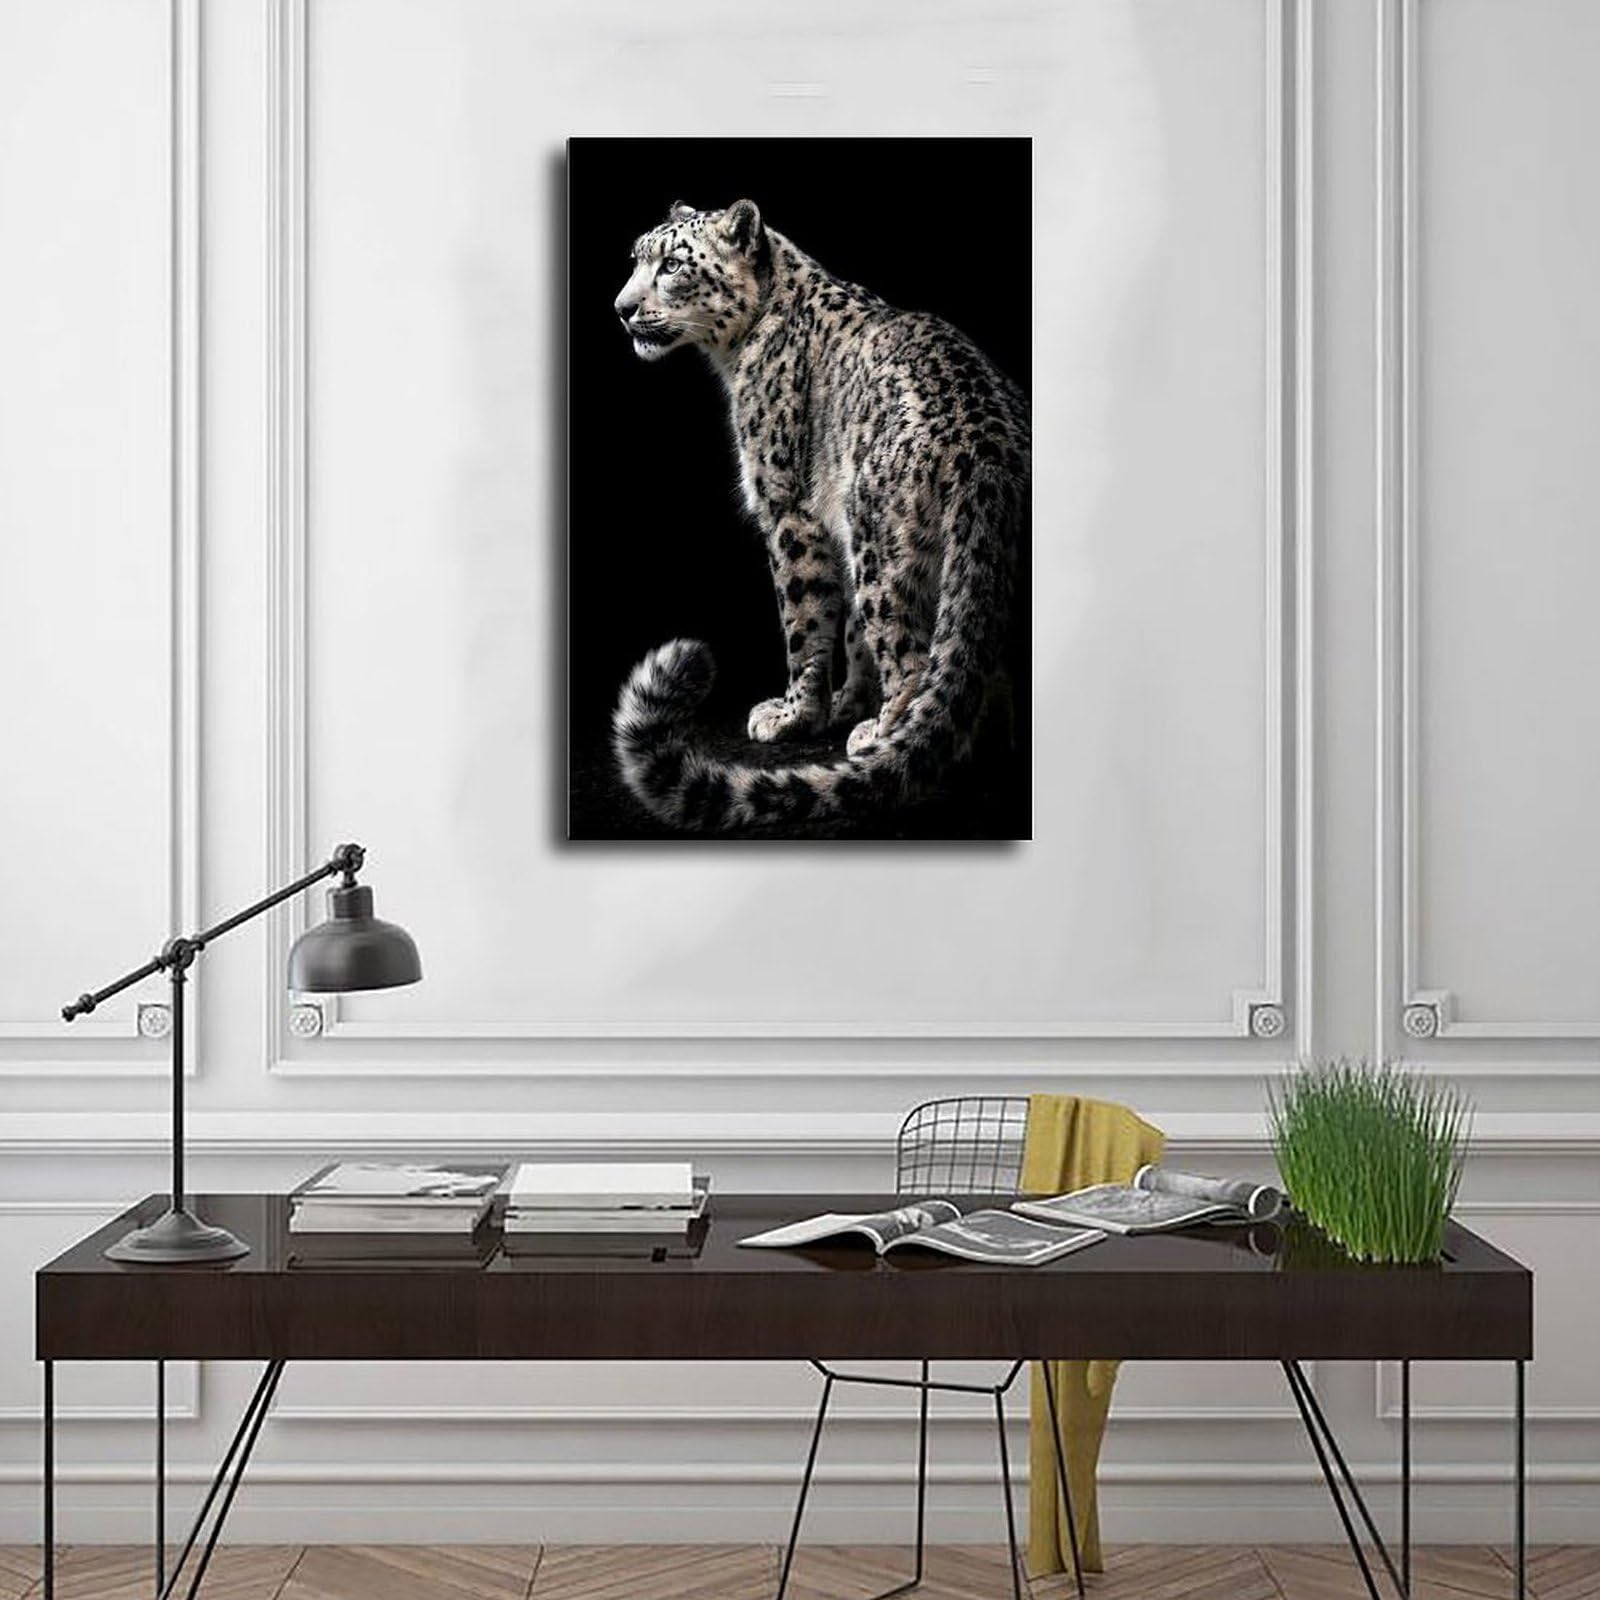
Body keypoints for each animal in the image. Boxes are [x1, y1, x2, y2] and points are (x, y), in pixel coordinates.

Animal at [608, 198, 1029, 834]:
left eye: (674, 265)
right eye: (636, 258)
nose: (623, 308)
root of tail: (989, 451)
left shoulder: (787, 508)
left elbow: (804, 622)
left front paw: (794, 715)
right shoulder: (834, 524)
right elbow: (850, 631)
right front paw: (847, 701)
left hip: (882, 545)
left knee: (911, 655)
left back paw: (884, 733)